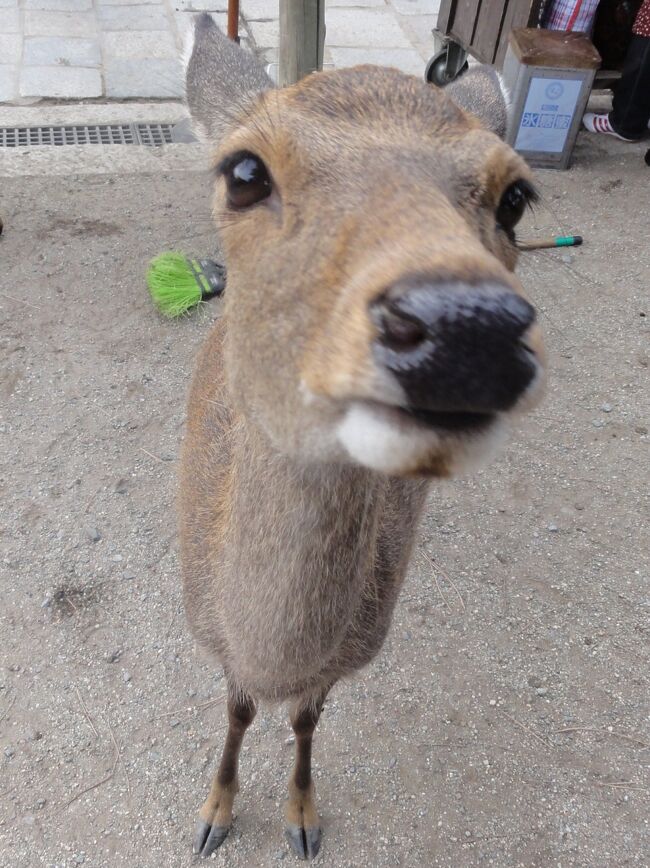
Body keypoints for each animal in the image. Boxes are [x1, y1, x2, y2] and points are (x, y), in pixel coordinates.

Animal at [176, 15, 540, 860]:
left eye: (517, 197)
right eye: (244, 171)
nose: (467, 323)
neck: (268, 650)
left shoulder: (354, 652)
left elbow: (308, 718)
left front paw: (303, 819)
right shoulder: (210, 635)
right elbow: (238, 709)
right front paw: (214, 814)